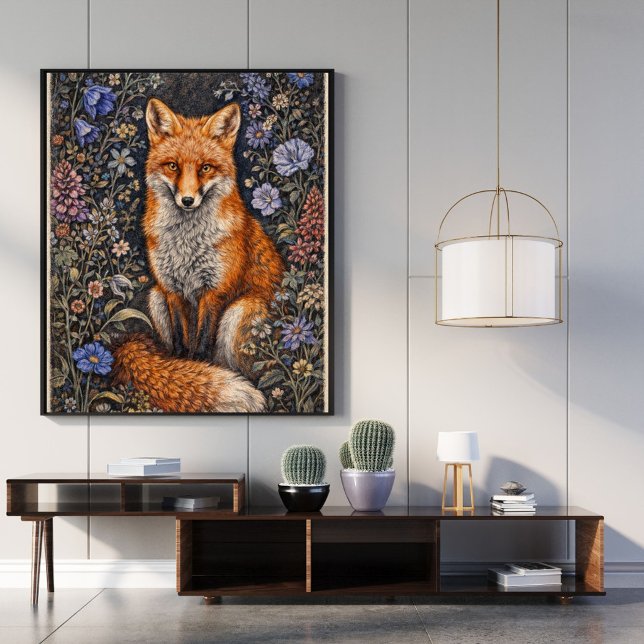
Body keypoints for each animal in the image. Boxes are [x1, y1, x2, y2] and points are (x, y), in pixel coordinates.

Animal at [112, 98, 285, 412]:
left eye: (205, 168)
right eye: (172, 166)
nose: (188, 200)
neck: (187, 244)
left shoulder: (215, 291)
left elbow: (203, 344)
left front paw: (200, 373)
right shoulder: (171, 290)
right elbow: (182, 345)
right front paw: (185, 373)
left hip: (240, 310)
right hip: (155, 298)